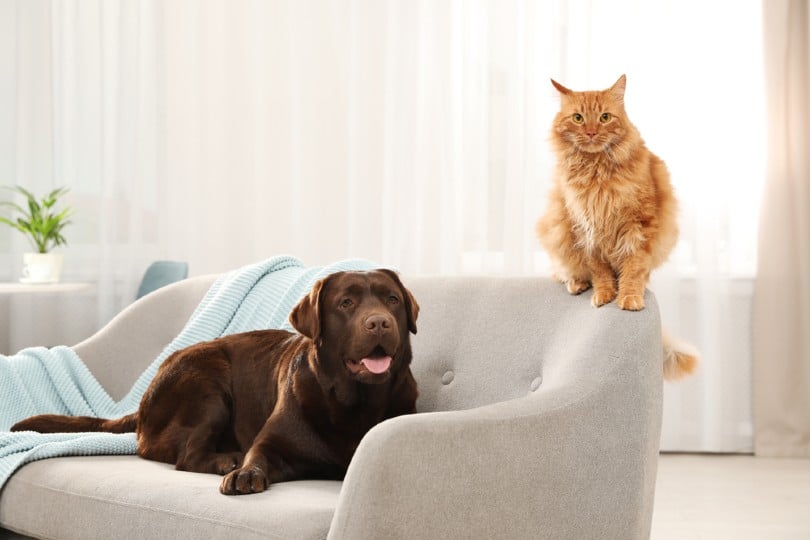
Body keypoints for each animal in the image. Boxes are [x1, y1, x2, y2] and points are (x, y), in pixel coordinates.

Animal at [536, 75, 696, 380]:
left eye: (604, 117)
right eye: (578, 118)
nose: (590, 132)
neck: (597, 172)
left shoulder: (639, 227)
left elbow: (633, 269)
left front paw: (629, 297)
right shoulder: (584, 227)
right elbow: (599, 271)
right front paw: (604, 294)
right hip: (555, 227)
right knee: (563, 270)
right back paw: (576, 282)